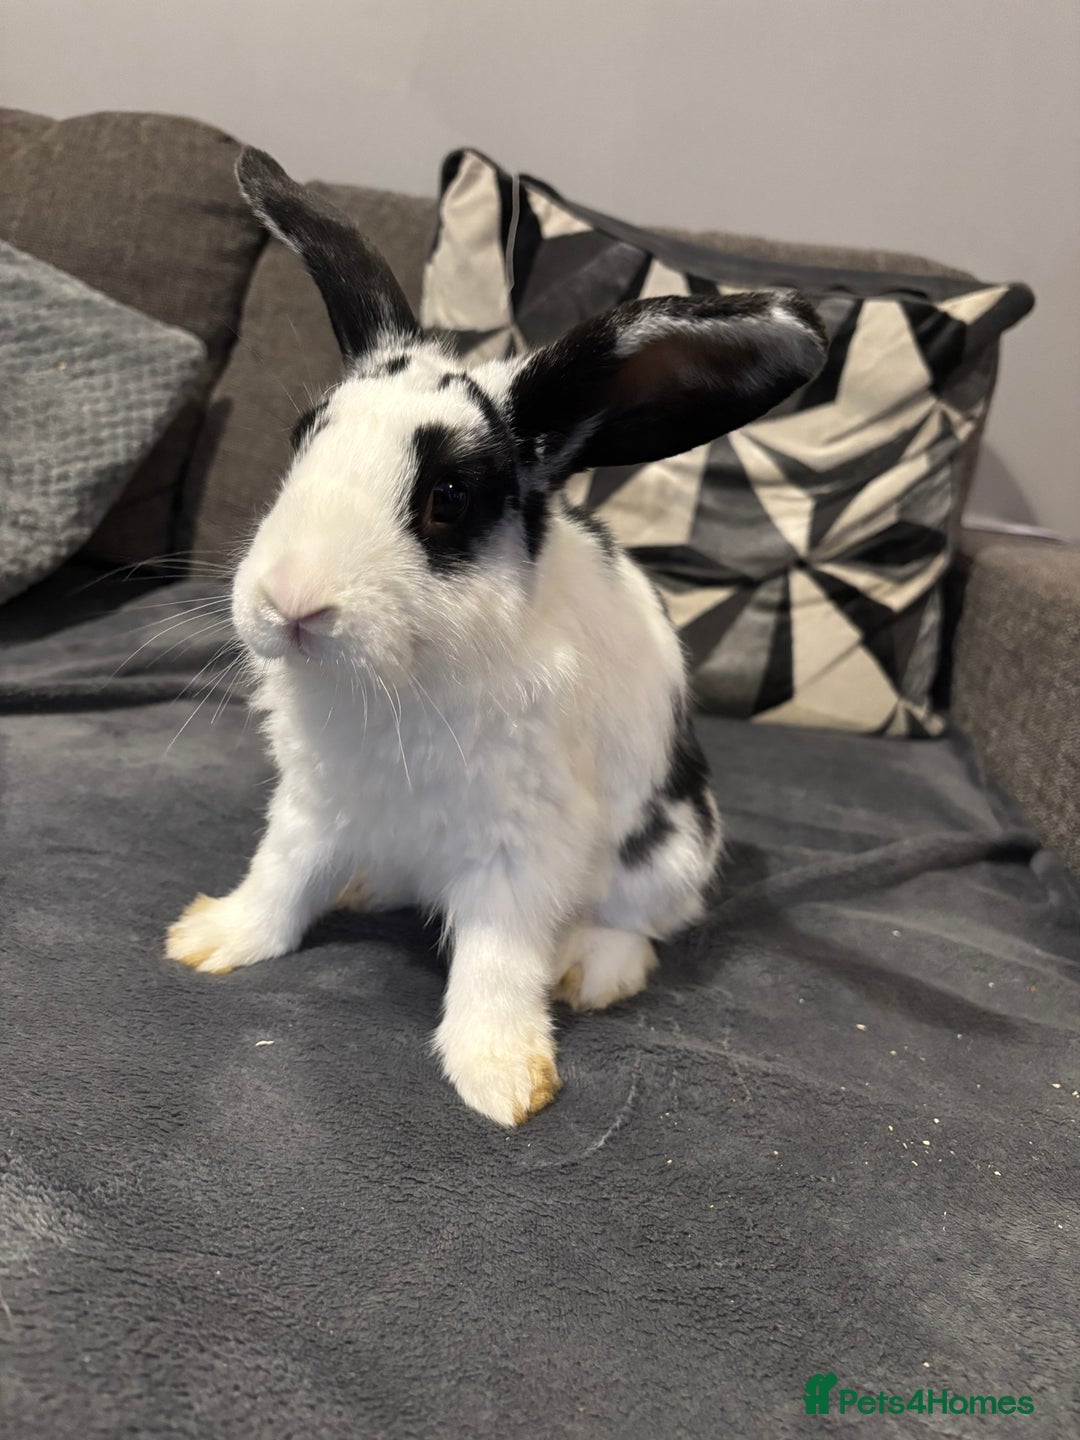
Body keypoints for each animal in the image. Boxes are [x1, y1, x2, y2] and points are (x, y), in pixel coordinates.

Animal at [166, 147, 827, 1126]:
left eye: (447, 498)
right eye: (300, 440)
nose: (292, 602)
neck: (398, 680)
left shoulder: (520, 850)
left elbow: (498, 960)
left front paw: (503, 1079)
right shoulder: (313, 806)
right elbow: (280, 879)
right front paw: (211, 940)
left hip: (664, 854)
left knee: (640, 923)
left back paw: (594, 971)